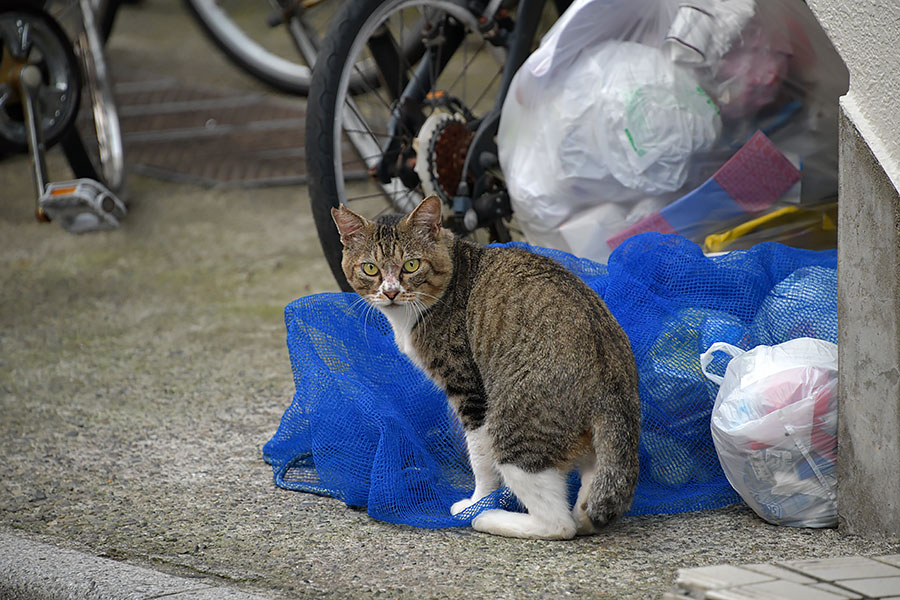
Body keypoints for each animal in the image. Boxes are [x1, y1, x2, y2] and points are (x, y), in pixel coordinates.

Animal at [332, 196, 640, 540]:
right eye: (370, 268)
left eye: (411, 265)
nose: (390, 292)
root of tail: (611, 383)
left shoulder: (469, 390)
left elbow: (480, 459)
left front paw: (476, 503)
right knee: (586, 501)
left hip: (513, 425)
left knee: (558, 524)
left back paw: (488, 517)